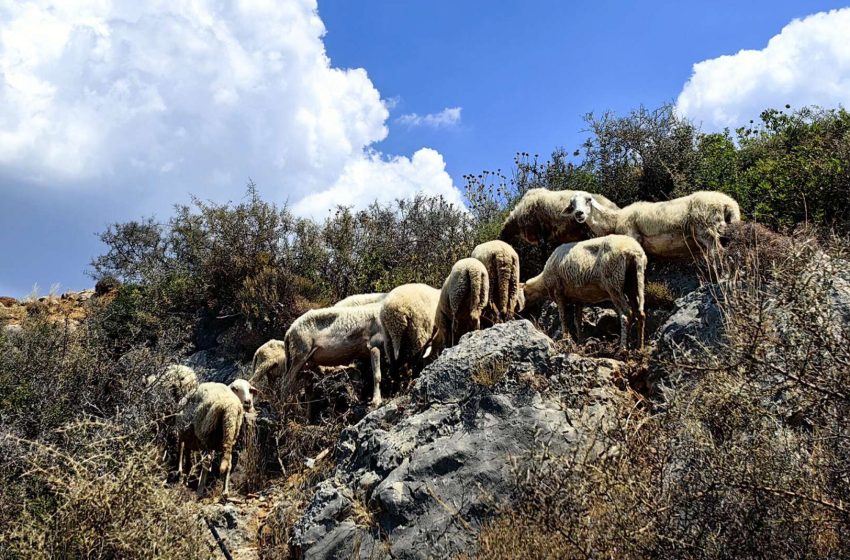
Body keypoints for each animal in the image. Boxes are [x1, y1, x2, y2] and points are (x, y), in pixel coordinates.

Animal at [568, 188, 740, 258]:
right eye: (572, 204)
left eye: (588, 200)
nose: (579, 214)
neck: (616, 219)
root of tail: (728, 203)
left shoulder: (633, 235)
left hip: (706, 228)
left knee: (717, 252)